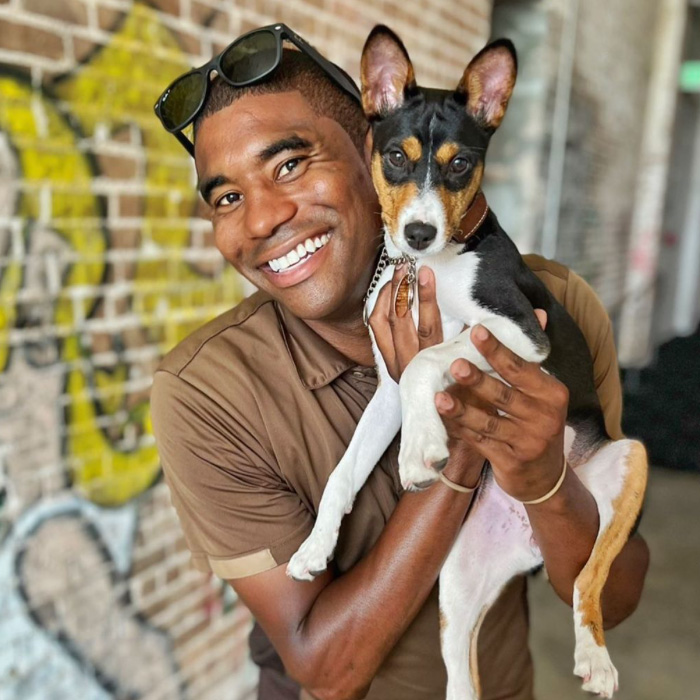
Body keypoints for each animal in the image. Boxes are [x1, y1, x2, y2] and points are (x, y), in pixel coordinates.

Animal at [284, 24, 644, 696]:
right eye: (395, 157)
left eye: (459, 165)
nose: (419, 234)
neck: (429, 266)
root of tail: (528, 539)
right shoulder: (387, 388)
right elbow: (345, 469)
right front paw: (315, 547)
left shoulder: (520, 333)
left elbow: (433, 357)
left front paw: (420, 450)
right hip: (454, 586)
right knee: (461, 670)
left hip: (627, 461)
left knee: (589, 579)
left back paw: (595, 657)